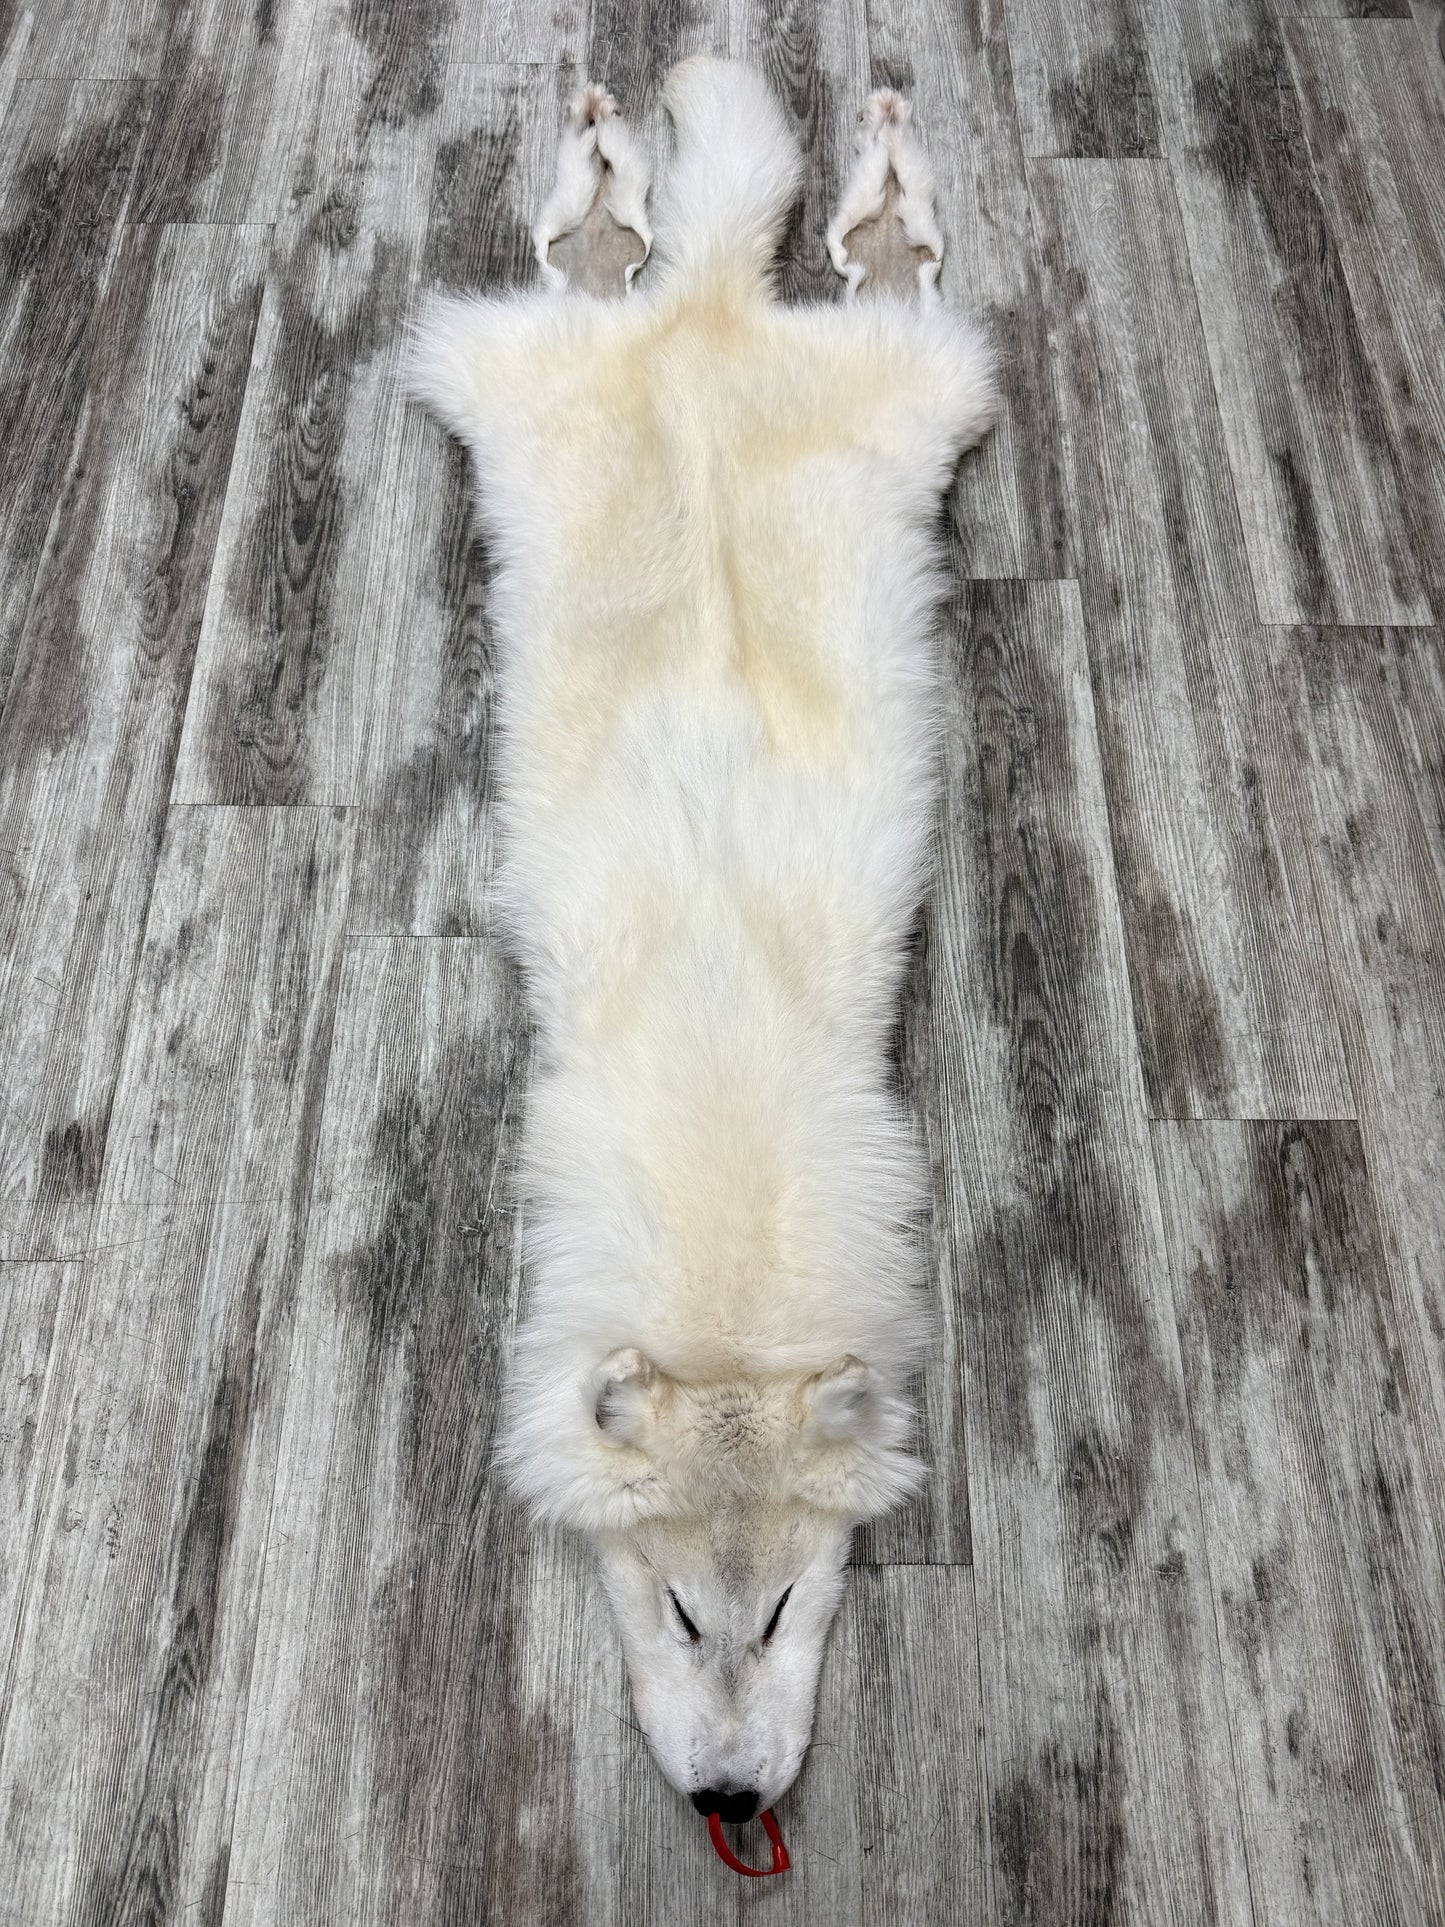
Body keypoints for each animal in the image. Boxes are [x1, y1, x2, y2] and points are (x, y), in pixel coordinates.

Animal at [409, 57, 995, 1825]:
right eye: (678, 1606)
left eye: (791, 1600)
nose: (735, 1801)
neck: (729, 1302)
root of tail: (717, 317)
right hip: (523, 384)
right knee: (595, 274)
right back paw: (624, 188)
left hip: (900, 396)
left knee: (858, 279)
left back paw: (836, 197)